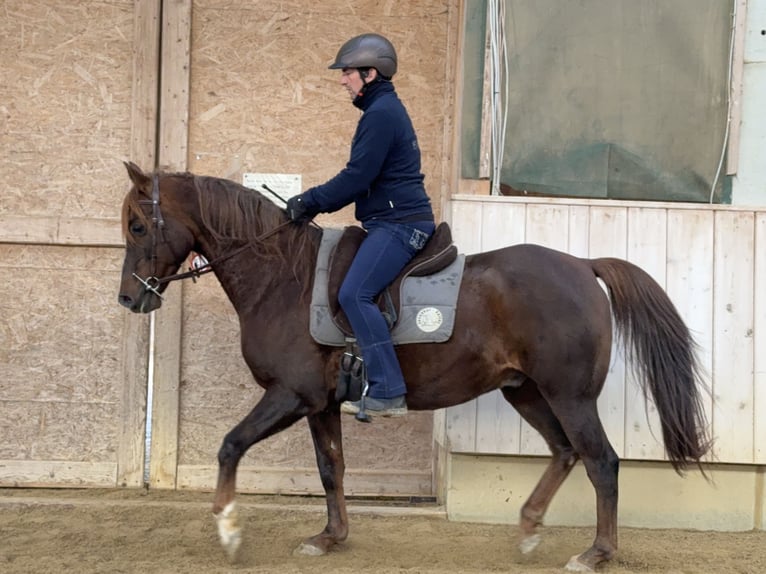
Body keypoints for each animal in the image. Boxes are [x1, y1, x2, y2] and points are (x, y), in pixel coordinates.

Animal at [117, 163, 712, 574]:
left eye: (139, 226)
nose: (129, 299)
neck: (284, 278)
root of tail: (584, 266)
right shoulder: (320, 404)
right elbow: (331, 468)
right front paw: (330, 537)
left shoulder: (291, 395)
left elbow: (231, 445)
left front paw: (228, 529)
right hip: (526, 392)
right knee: (566, 453)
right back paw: (528, 527)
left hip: (570, 397)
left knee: (601, 462)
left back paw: (597, 552)